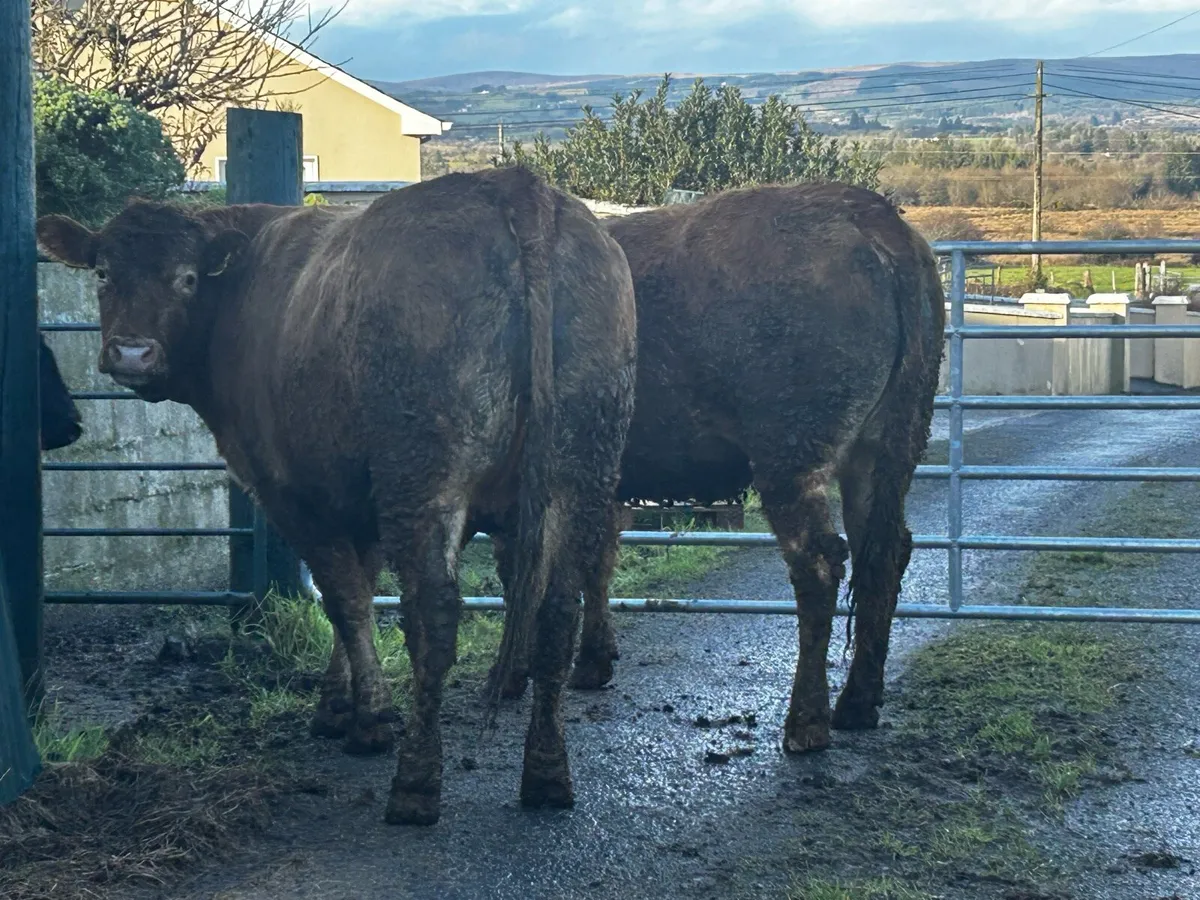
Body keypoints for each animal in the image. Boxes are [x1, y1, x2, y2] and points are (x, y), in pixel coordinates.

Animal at [36, 165, 638, 826]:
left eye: (186, 278)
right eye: (103, 273)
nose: (132, 352)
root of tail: (513, 185)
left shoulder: (292, 494)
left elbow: (345, 598)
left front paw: (368, 717)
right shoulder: (356, 498)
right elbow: (362, 587)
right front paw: (337, 701)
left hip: (421, 475)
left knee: (434, 615)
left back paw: (415, 782)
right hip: (579, 472)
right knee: (557, 612)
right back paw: (547, 774)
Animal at [492, 182, 946, 756]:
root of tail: (868, 215)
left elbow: (522, 573)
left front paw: (510, 674)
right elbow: (597, 560)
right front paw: (593, 662)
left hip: (790, 455)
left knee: (820, 563)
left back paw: (806, 722)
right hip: (887, 450)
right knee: (883, 554)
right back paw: (857, 704)